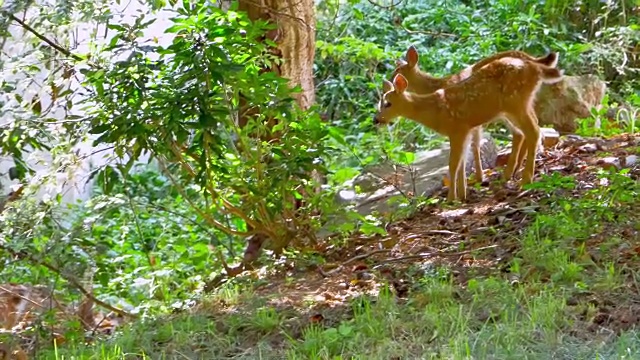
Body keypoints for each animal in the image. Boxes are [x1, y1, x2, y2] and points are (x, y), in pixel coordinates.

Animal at [376, 57, 564, 201]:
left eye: (388, 103)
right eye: (379, 103)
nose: (376, 120)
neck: (435, 111)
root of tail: (536, 67)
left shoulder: (458, 129)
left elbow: (453, 164)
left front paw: (451, 199)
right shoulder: (464, 131)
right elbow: (462, 163)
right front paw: (462, 194)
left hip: (516, 102)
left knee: (532, 131)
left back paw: (525, 179)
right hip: (517, 105)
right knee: (530, 130)